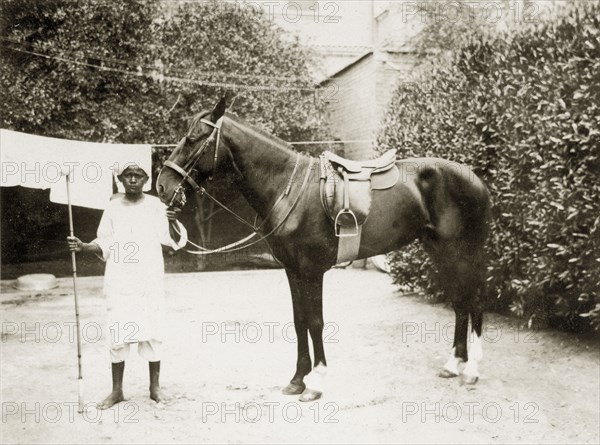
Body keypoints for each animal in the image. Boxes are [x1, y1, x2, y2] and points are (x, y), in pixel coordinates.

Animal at [157, 98, 490, 402]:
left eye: (193, 138)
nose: (162, 185)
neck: (287, 188)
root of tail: (476, 180)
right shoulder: (292, 271)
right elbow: (299, 321)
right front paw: (296, 380)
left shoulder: (311, 270)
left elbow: (315, 323)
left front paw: (315, 383)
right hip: (441, 252)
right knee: (460, 303)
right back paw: (453, 364)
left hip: (461, 252)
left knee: (474, 302)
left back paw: (472, 371)